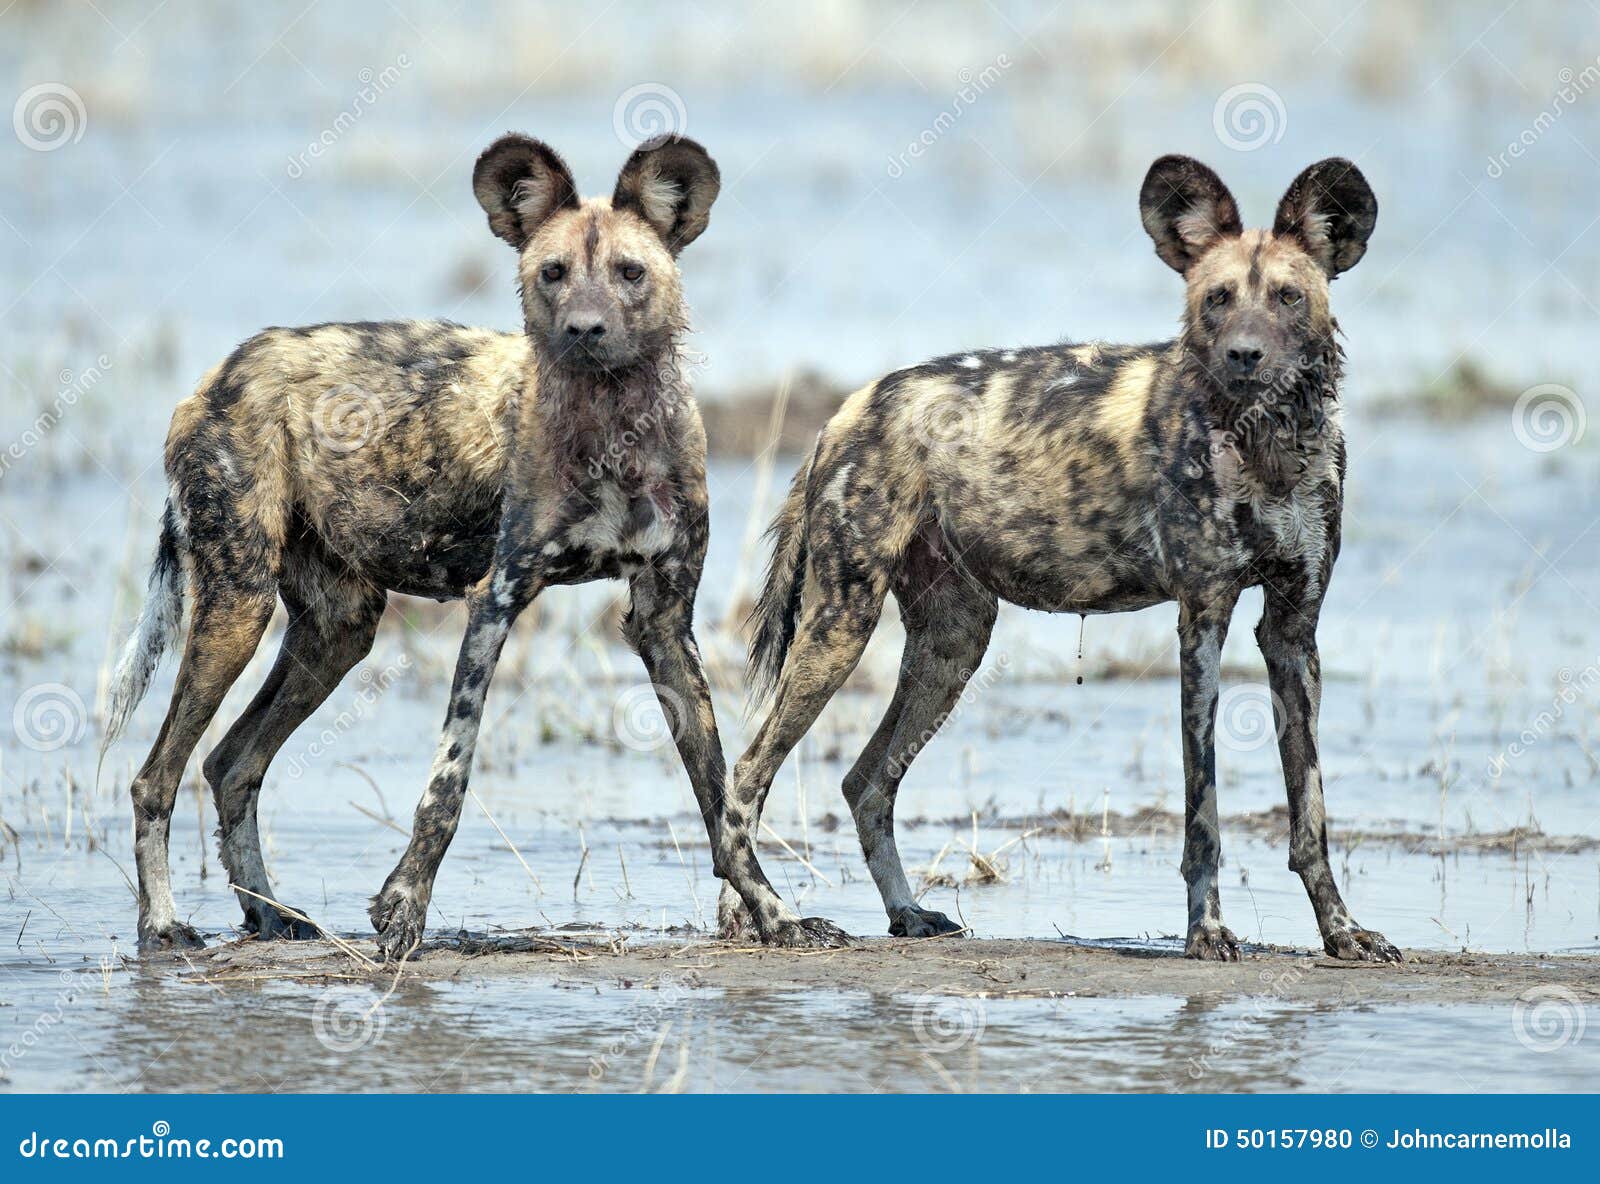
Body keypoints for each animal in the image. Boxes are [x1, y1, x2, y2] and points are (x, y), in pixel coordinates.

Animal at [100, 134, 726, 960]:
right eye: (552, 273)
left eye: (631, 273)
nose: (584, 330)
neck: (614, 436)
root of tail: (214, 377)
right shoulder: (494, 604)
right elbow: (447, 786)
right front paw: (404, 914)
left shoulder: (663, 623)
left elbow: (723, 792)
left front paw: (772, 916)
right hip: (238, 609)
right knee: (156, 777)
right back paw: (164, 924)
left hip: (337, 630)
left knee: (231, 764)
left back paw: (269, 915)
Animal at [716, 155, 1401, 960]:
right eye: (1218, 299)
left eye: (1289, 298)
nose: (1243, 356)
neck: (1267, 446)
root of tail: (846, 412)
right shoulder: (1202, 620)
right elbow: (1203, 814)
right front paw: (1207, 930)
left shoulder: (1292, 630)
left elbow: (1311, 814)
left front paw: (1342, 931)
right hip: (840, 628)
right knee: (745, 775)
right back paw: (777, 918)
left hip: (953, 642)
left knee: (865, 782)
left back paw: (897, 913)